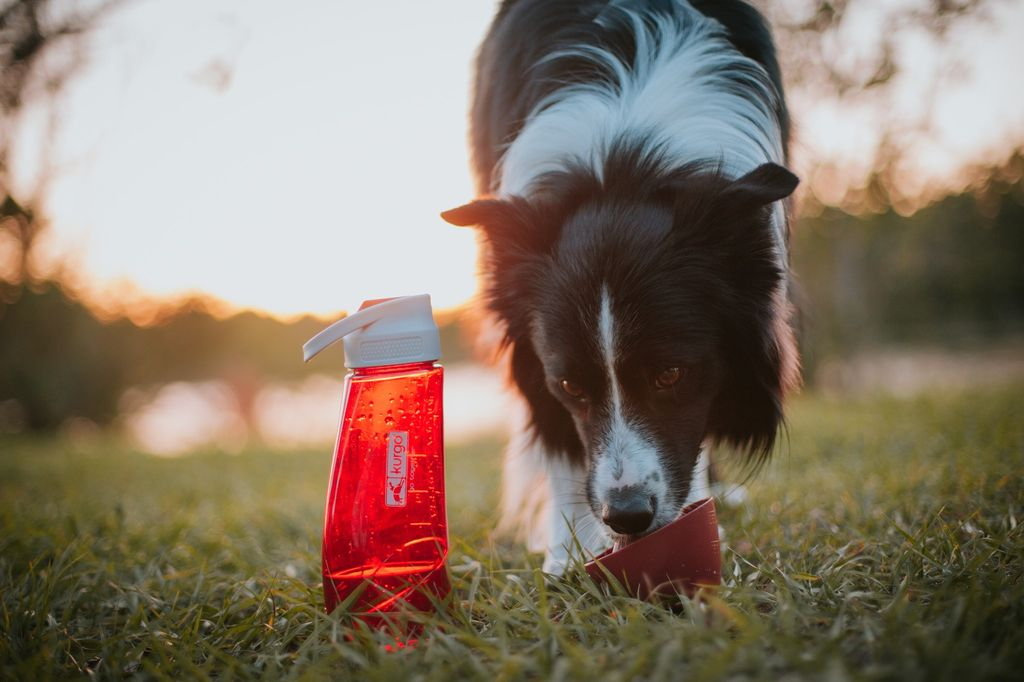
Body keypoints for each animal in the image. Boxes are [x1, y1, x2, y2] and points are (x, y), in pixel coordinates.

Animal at [440, 0, 798, 573]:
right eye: (569, 385)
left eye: (671, 374)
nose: (626, 517)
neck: (624, 155)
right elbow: (559, 441)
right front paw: (566, 554)